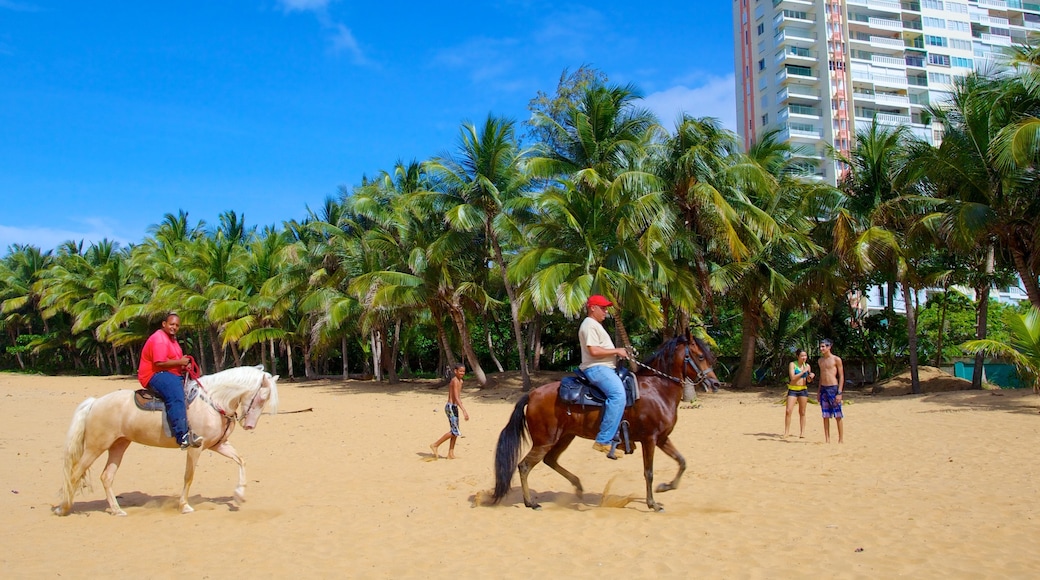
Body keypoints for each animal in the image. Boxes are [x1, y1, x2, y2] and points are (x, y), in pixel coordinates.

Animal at [52, 367, 280, 517]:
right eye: (262, 398)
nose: (249, 426)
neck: (213, 401)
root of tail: (95, 403)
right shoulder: (195, 448)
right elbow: (189, 476)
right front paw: (184, 506)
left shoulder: (218, 445)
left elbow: (241, 461)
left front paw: (239, 495)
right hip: (95, 446)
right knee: (75, 473)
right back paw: (63, 508)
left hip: (119, 444)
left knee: (106, 477)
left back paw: (117, 510)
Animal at [490, 332, 719, 513]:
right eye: (700, 356)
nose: (715, 383)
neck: (658, 388)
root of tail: (532, 394)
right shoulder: (650, 439)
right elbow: (649, 472)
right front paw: (652, 503)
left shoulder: (662, 438)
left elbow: (682, 462)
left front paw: (666, 487)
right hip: (544, 440)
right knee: (524, 466)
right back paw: (531, 503)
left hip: (565, 436)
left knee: (550, 460)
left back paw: (578, 487)